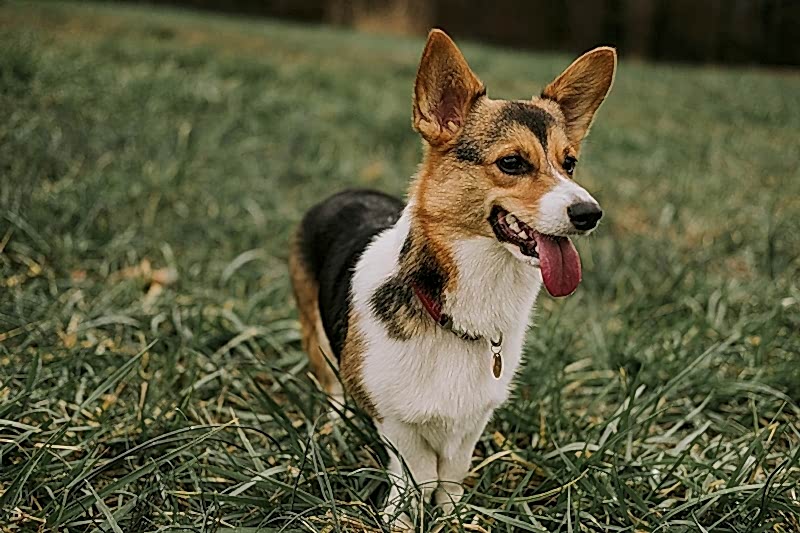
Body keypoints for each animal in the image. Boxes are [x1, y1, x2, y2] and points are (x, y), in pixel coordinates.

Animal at [290, 30, 616, 528]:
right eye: (513, 163)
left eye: (570, 164)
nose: (589, 213)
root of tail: (342, 192)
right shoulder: (392, 417)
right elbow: (417, 471)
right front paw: (403, 518)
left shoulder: (473, 418)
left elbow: (451, 473)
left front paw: (453, 517)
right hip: (317, 338)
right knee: (330, 388)